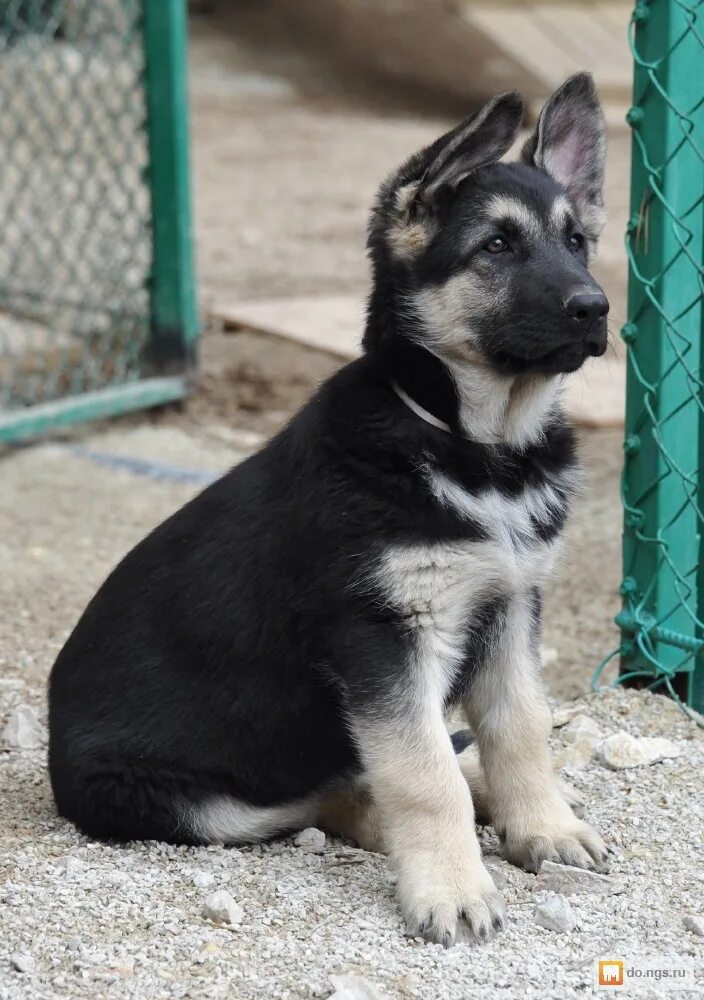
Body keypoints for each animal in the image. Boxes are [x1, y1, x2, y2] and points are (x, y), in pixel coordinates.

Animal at [49, 74, 612, 940]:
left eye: (577, 241)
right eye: (496, 247)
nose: (595, 308)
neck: (472, 445)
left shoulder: (512, 603)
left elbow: (520, 726)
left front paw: (542, 826)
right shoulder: (381, 636)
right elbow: (420, 773)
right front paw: (453, 885)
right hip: (183, 802)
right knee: (326, 797)